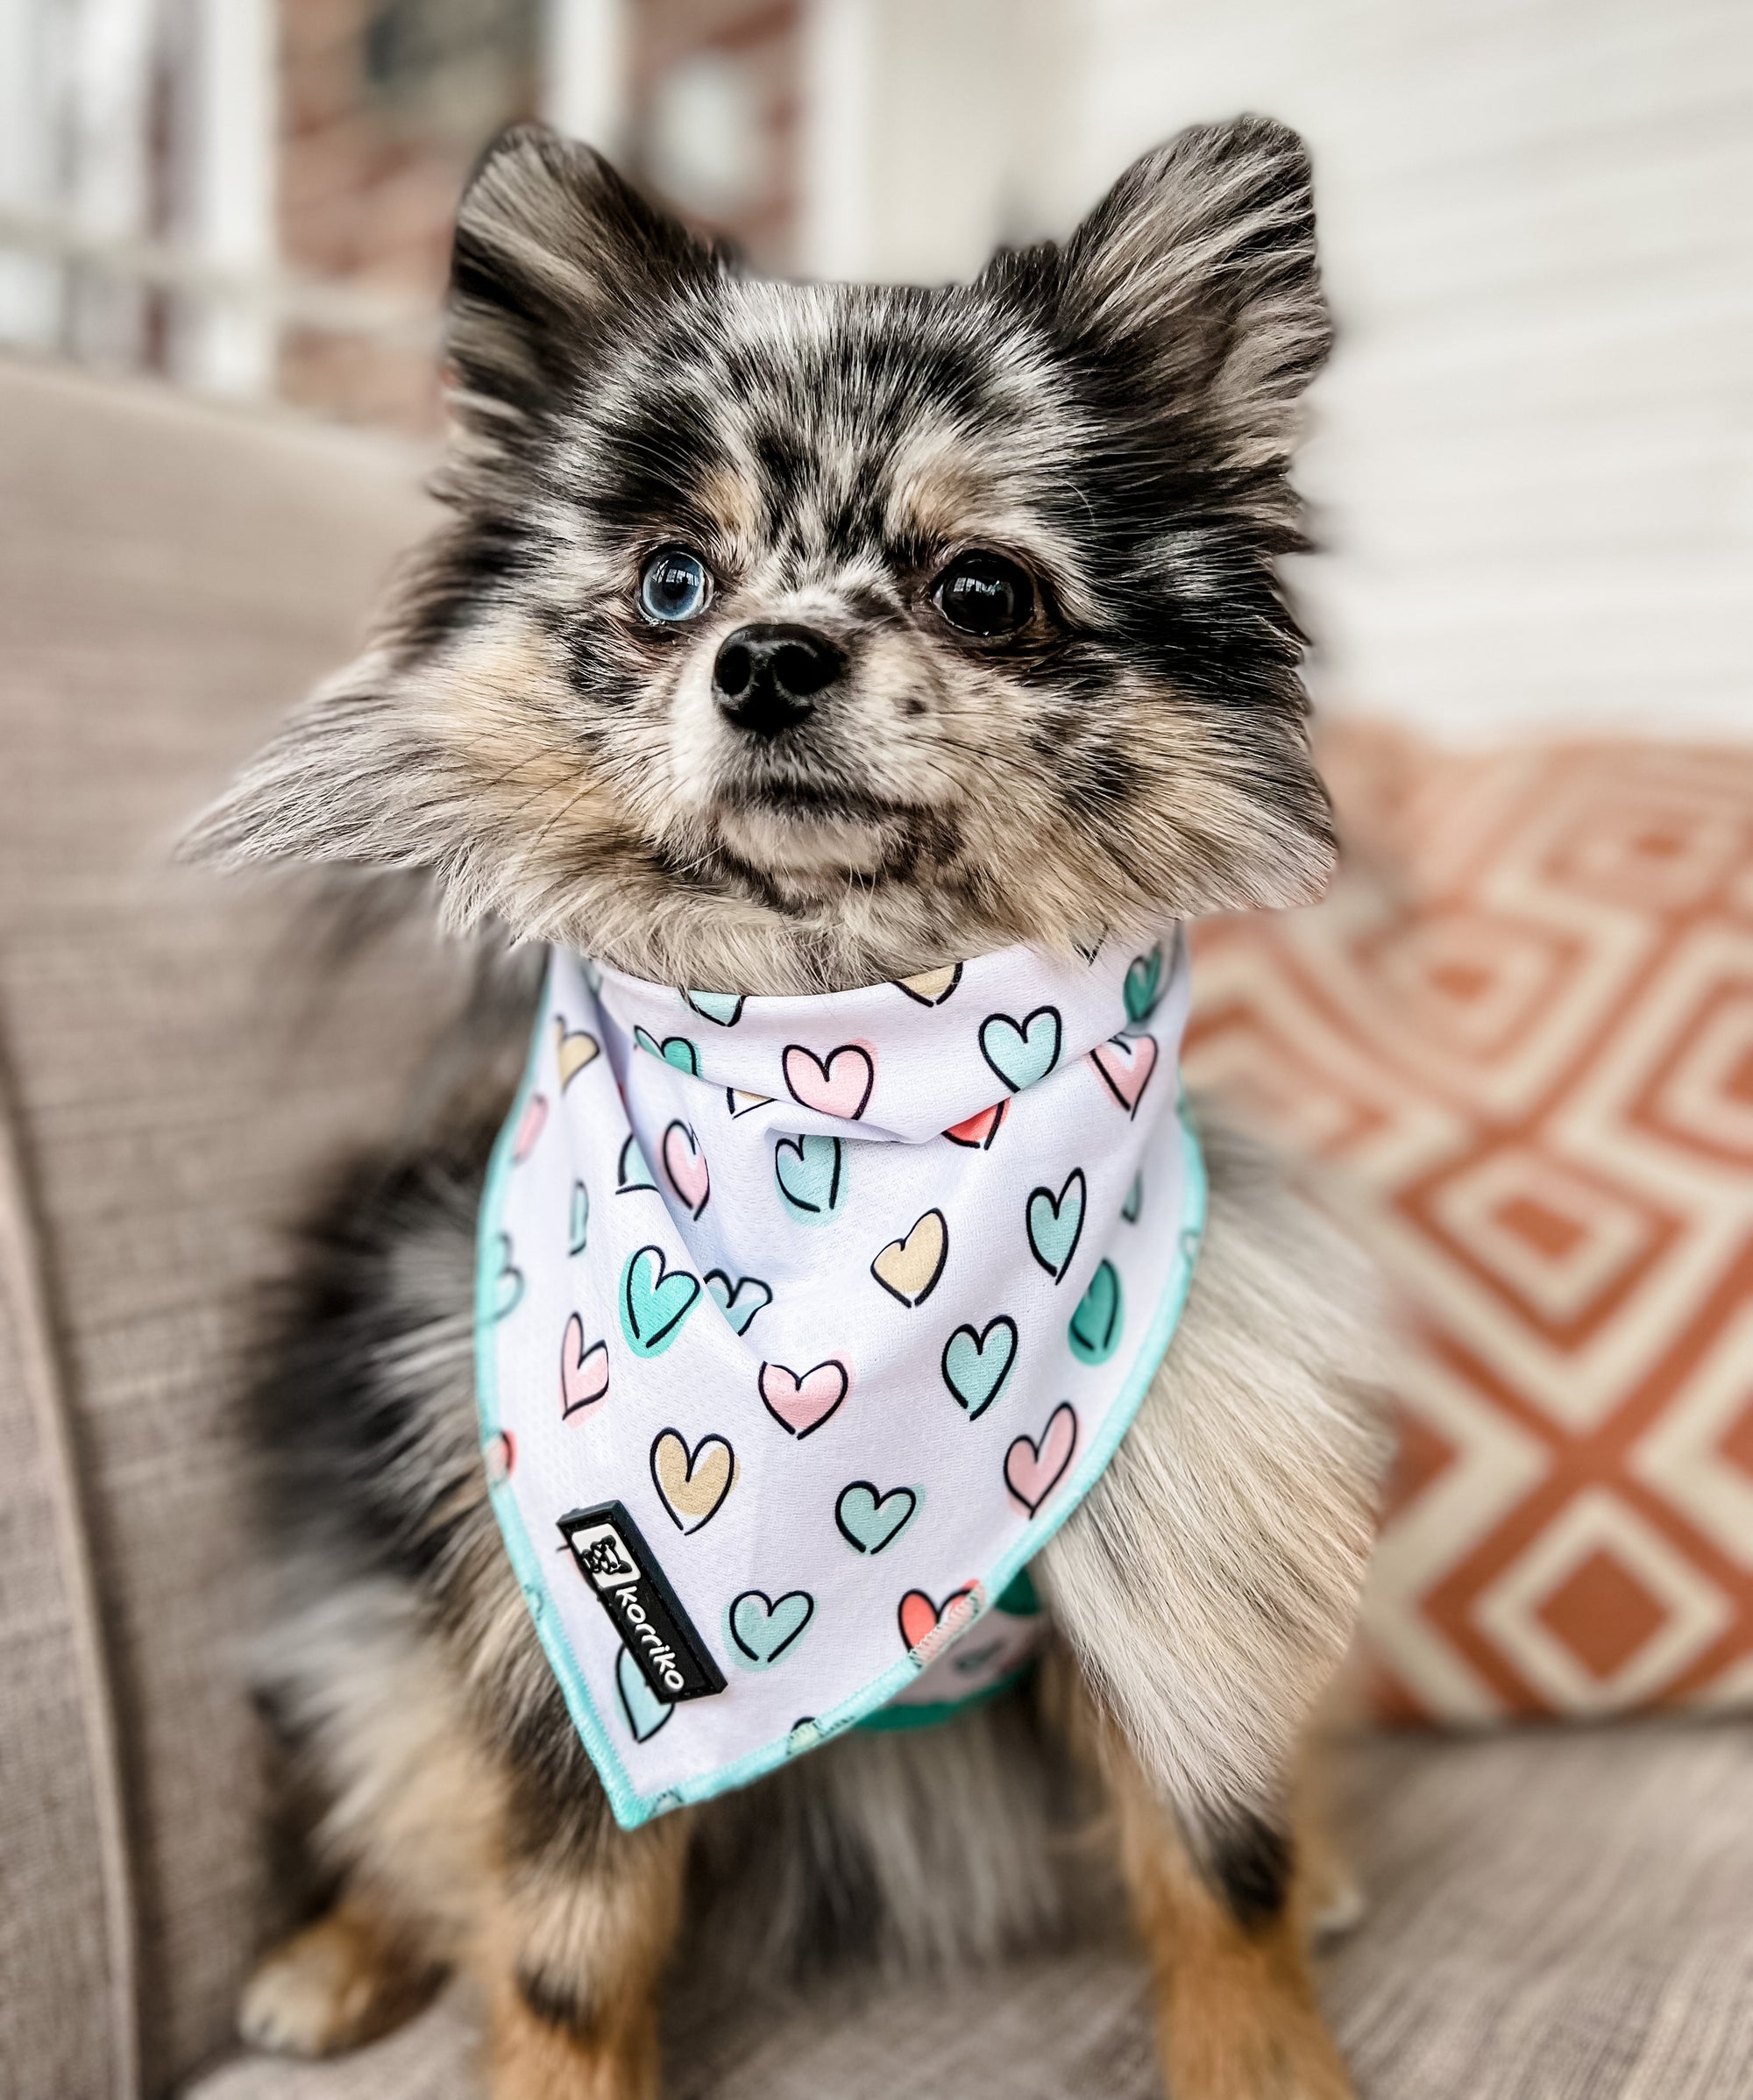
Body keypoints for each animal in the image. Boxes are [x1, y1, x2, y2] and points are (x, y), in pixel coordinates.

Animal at [188, 118, 1402, 2100]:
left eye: (981, 590)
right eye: (672, 583)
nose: (763, 658)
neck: (846, 1066)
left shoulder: (1181, 1508)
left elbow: (1215, 1848)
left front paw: (1266, 2051)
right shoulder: (559, 1625)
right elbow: (564, 1944)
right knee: (408, 1794)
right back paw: (338, 1947)